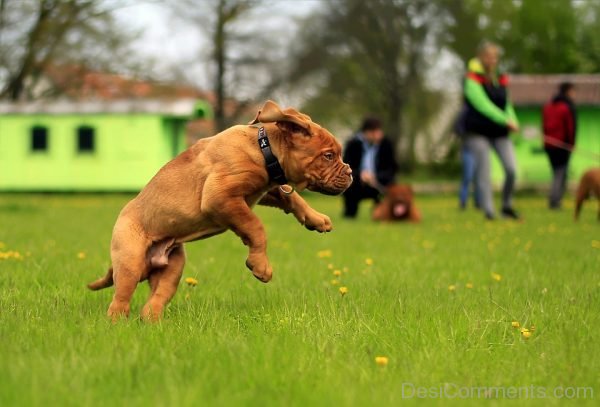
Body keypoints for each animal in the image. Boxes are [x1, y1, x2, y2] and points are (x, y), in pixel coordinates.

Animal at [86, 100, 354, 320]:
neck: (264, 149)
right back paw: (118, 324)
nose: (351, 172)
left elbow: (291, 198)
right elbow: (256, 226)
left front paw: (315, 219)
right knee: (120, 300)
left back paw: (153, 322)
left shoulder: (261, 190)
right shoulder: (220, 197)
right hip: (130, 261)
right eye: (328, 156)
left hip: (172, 268)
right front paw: (260, 265)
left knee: (155, 300)